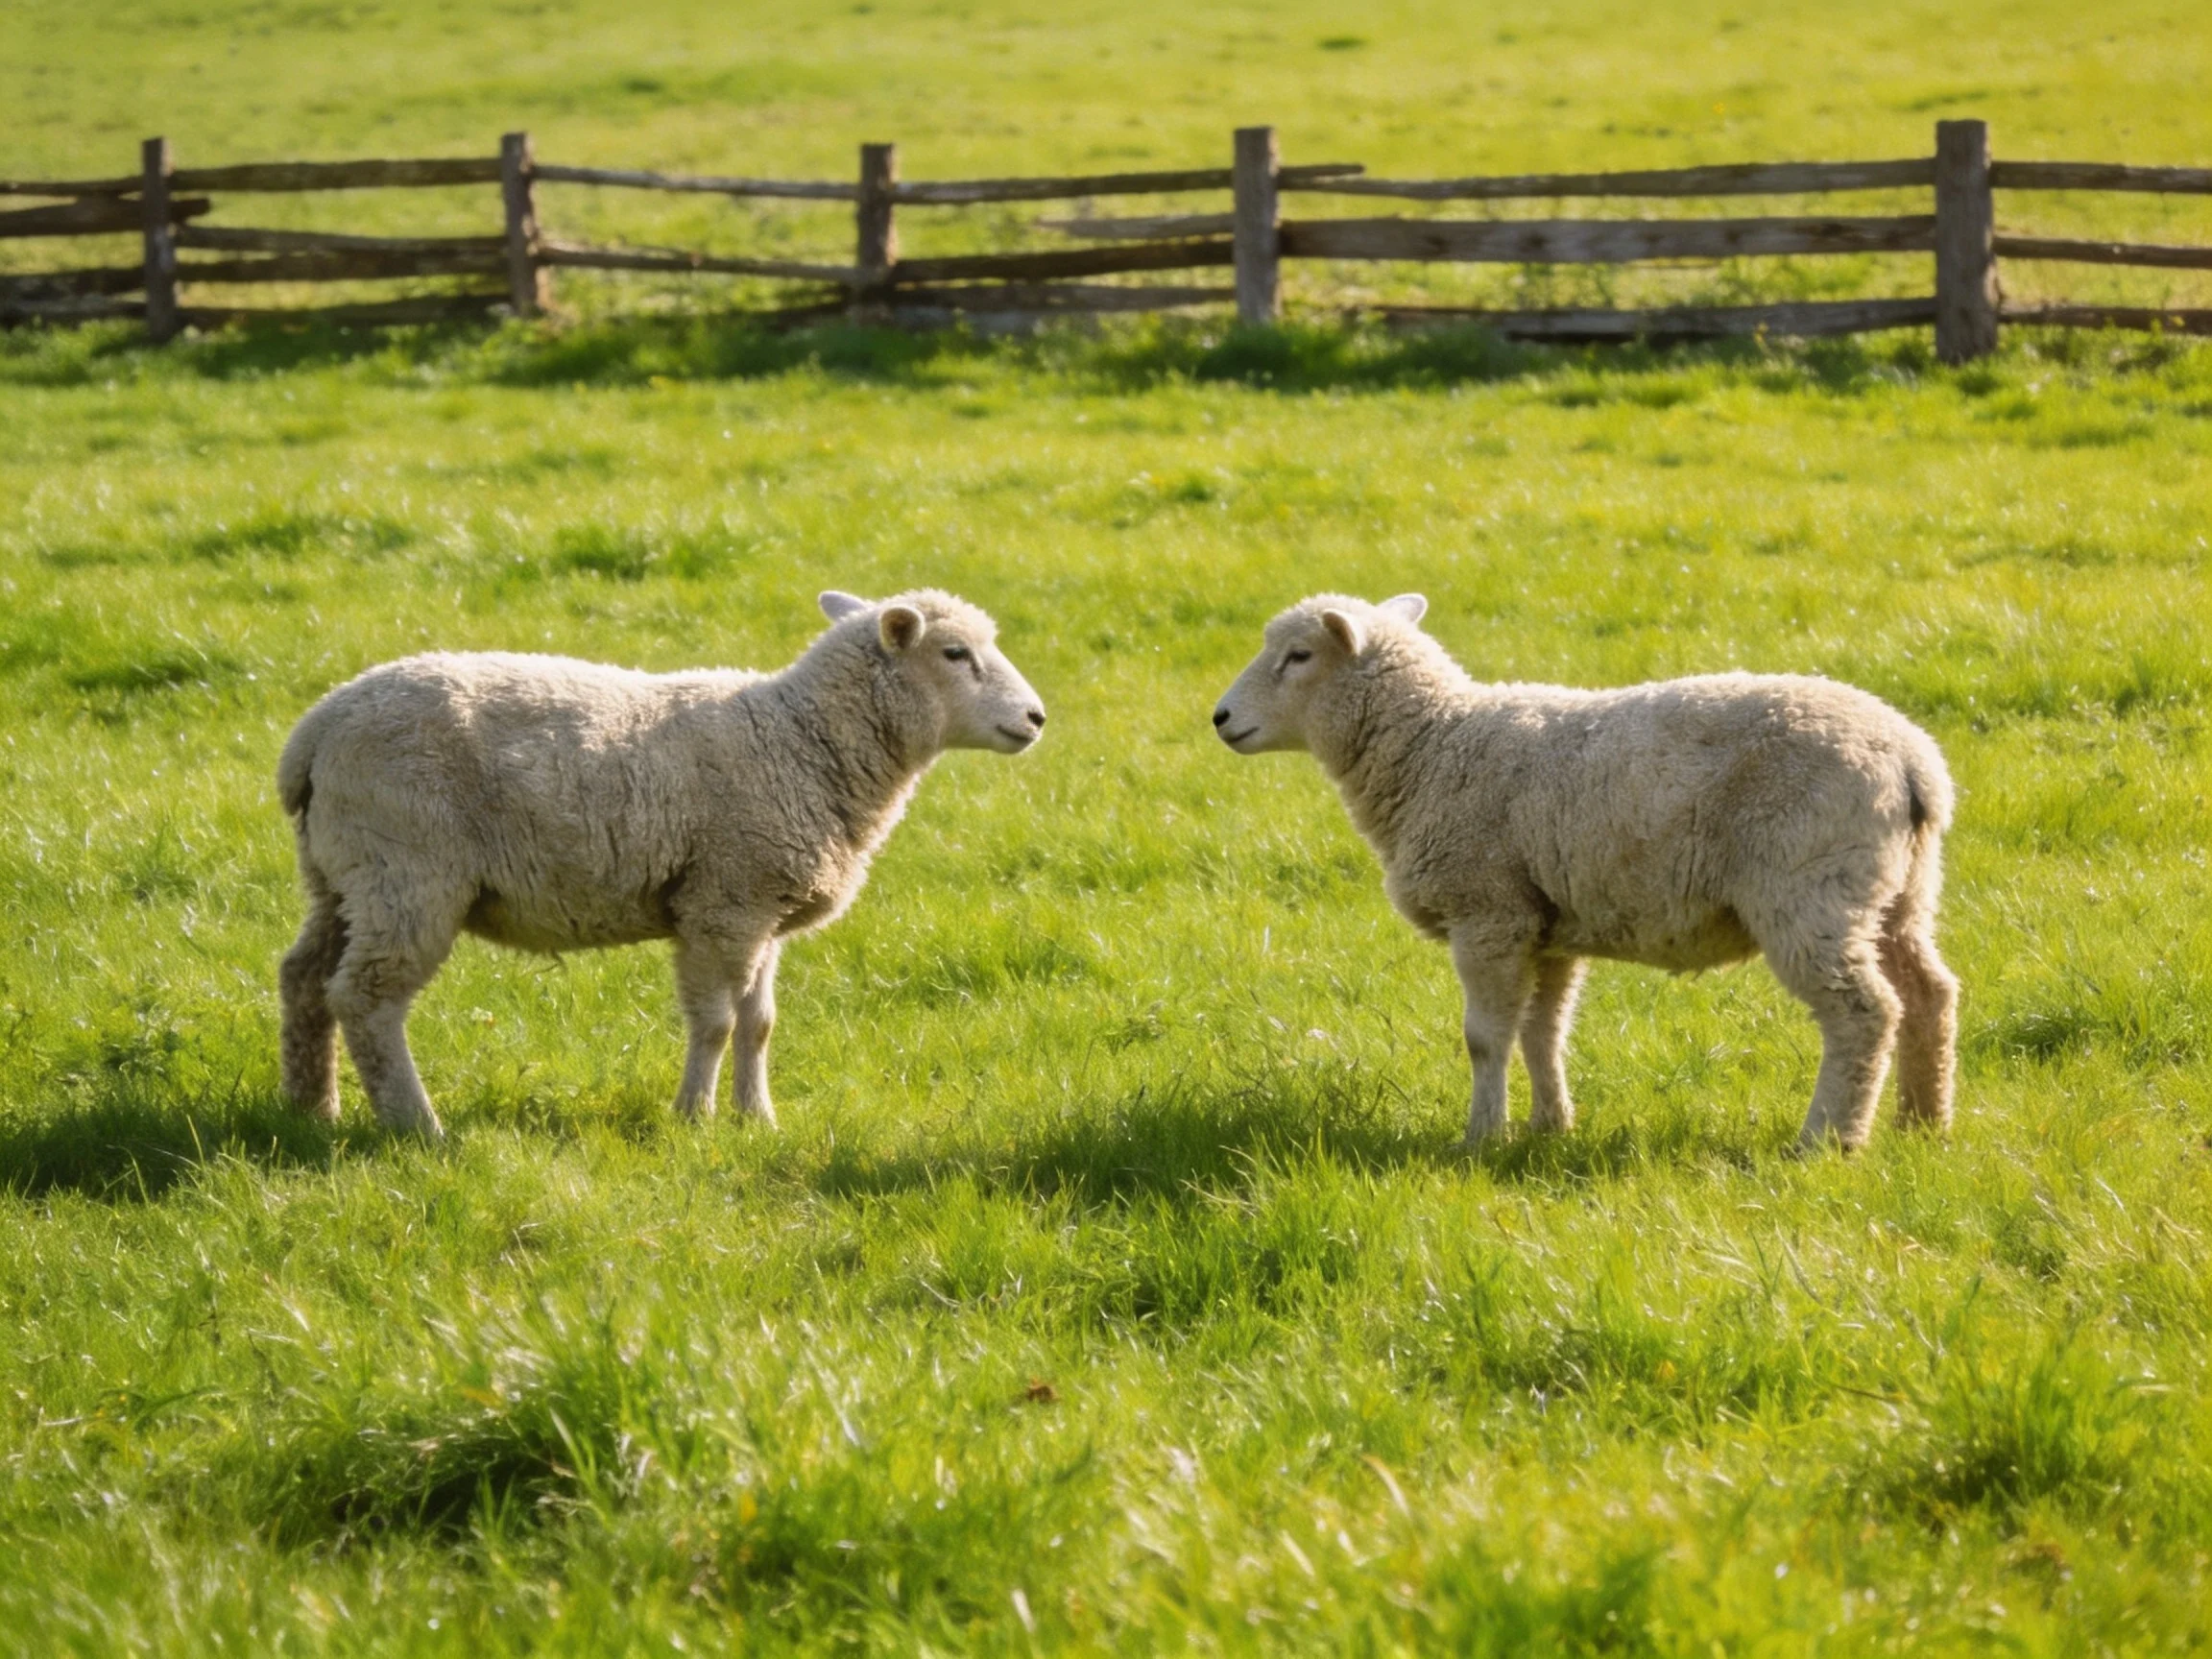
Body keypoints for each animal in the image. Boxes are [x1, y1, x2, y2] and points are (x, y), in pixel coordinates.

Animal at [276, 590, 1046, 1137]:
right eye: (955, 653)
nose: (1037, 718)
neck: (802, 740)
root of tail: (315, 731)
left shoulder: (762, 909)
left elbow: (759, 1023)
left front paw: (757, 1120)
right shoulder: (722, 901)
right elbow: (717, 1023)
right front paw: (694, 1119)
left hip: (341, 875)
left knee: (304, 979)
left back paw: (312, 1108)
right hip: (408, 871)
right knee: (366, 998)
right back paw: (416, 1126)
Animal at [1213, 593, 1957, 1154]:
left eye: (1299, 656)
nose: (1219, 718)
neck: (1433, 747)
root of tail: (1913, 761)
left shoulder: (1488, 911)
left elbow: (1485, 1039)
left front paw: (1480, 1138)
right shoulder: (1544, 925)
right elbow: (1542, 1033)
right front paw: (1549, 1126)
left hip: (1807, 887)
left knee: (1863, 1013)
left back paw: (1828, 1141)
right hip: (1896, 891)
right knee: (1929, 995)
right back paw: (1922, 1125)